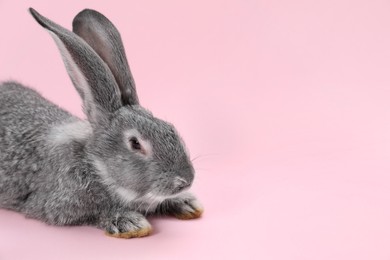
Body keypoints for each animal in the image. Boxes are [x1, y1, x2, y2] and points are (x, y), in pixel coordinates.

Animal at [0, 7, 203, 240]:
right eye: (135, 143)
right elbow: (95, 214)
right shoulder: (59, 205)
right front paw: (129, 222)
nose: (185, 180)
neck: (96, 165)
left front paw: (187, 202)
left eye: (170, 128)